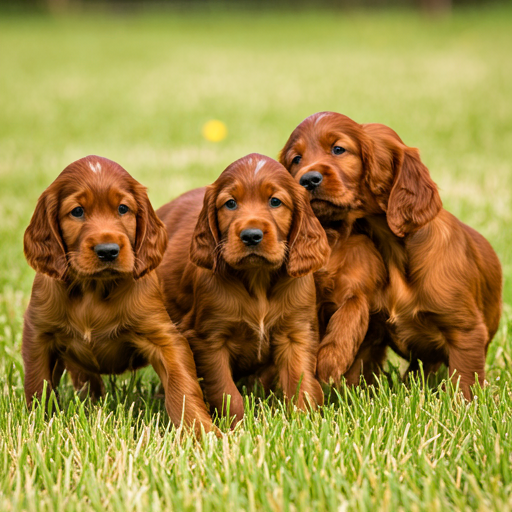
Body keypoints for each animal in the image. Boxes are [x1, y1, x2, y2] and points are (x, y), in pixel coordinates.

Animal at [22, 155, 212, 432]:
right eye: (77, 211)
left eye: (123, 209)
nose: (108, 250)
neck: (94, 288)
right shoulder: (39, 334)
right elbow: (38, 386)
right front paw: (39, 425)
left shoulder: (164, 338)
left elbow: (183, 386)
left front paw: (202, 431)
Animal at [158, 154, 330, 422]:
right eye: (230, 204)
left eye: (275, 201)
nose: (251, 235)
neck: (257, 278)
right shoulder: (209, 339)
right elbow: (227, 393)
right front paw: (236, 425)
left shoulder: (296, 334)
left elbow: (301, 383)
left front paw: (304, 421)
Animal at [278, 113, 502, 400]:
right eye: (296, 159)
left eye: (338, 149)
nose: (307, 179)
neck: (393, 249)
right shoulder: (371, 332)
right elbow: (355, 372)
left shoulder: (466, 332)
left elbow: (464, 384)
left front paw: (462, 406)